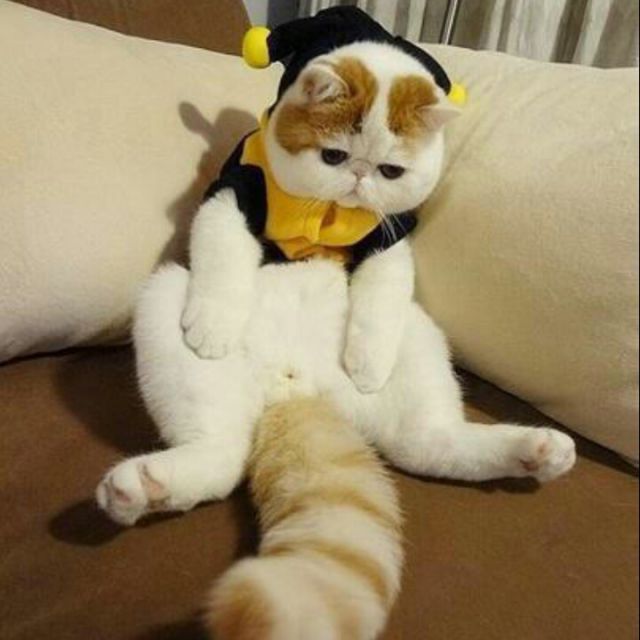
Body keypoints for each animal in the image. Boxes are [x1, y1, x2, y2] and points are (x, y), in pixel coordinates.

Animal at [96, 33, 576, 640]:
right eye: (332, 157)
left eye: (391, 170)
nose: (358, 179)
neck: (326, 214)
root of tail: (295, 387)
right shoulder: (234, 193)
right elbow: (224, 251)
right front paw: (215, 322)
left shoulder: (390, 237)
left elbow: (382, 294)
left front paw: (366, 360)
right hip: (165, 299)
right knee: (223, 455)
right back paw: (141, 485)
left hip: (416, 340)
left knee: (430, 443)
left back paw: (535, 450)